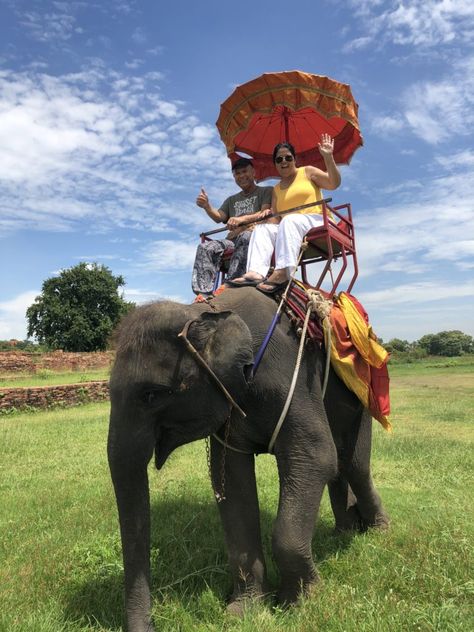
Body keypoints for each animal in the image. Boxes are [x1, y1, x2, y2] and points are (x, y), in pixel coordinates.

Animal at [107, 288, 388, 632]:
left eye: (151, 395)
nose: (154, 623)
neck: (206, 312)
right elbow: (232, 483)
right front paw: (244, 610)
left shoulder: (286, 376)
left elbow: (316, 455)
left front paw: (299, 603)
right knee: (340, 466)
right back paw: (344, 531)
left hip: (361, 392)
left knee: (353, 463)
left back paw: (377, 532)